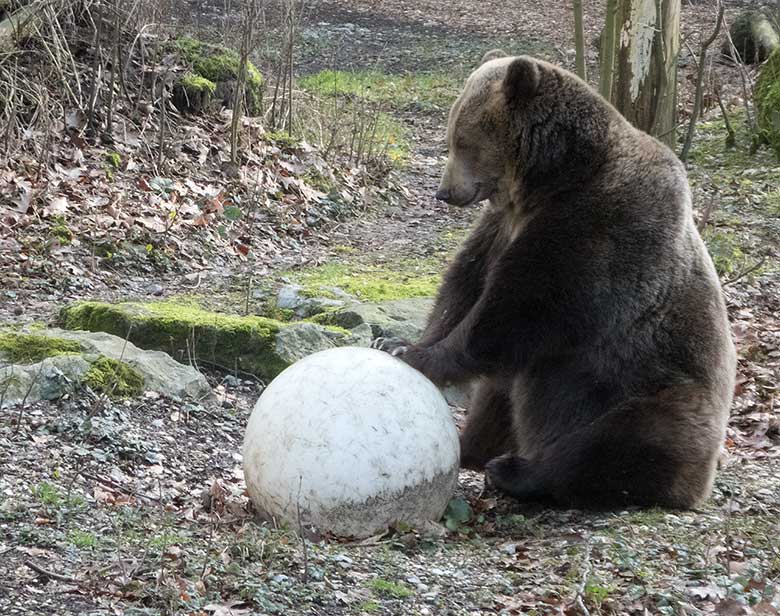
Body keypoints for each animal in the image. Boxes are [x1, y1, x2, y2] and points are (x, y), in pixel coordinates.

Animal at [378, 51, 736, 510]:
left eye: (462, 141)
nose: (445, 192)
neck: (550, 178)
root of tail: (698, 485)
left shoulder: (597, 226)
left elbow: (518, 309)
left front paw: (417, 355)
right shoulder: (502, 224)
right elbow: (465, 283)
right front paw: (398, 341)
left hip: (651, 392)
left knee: (608, 442)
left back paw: (517, 472)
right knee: (500, 395)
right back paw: (474, 448)